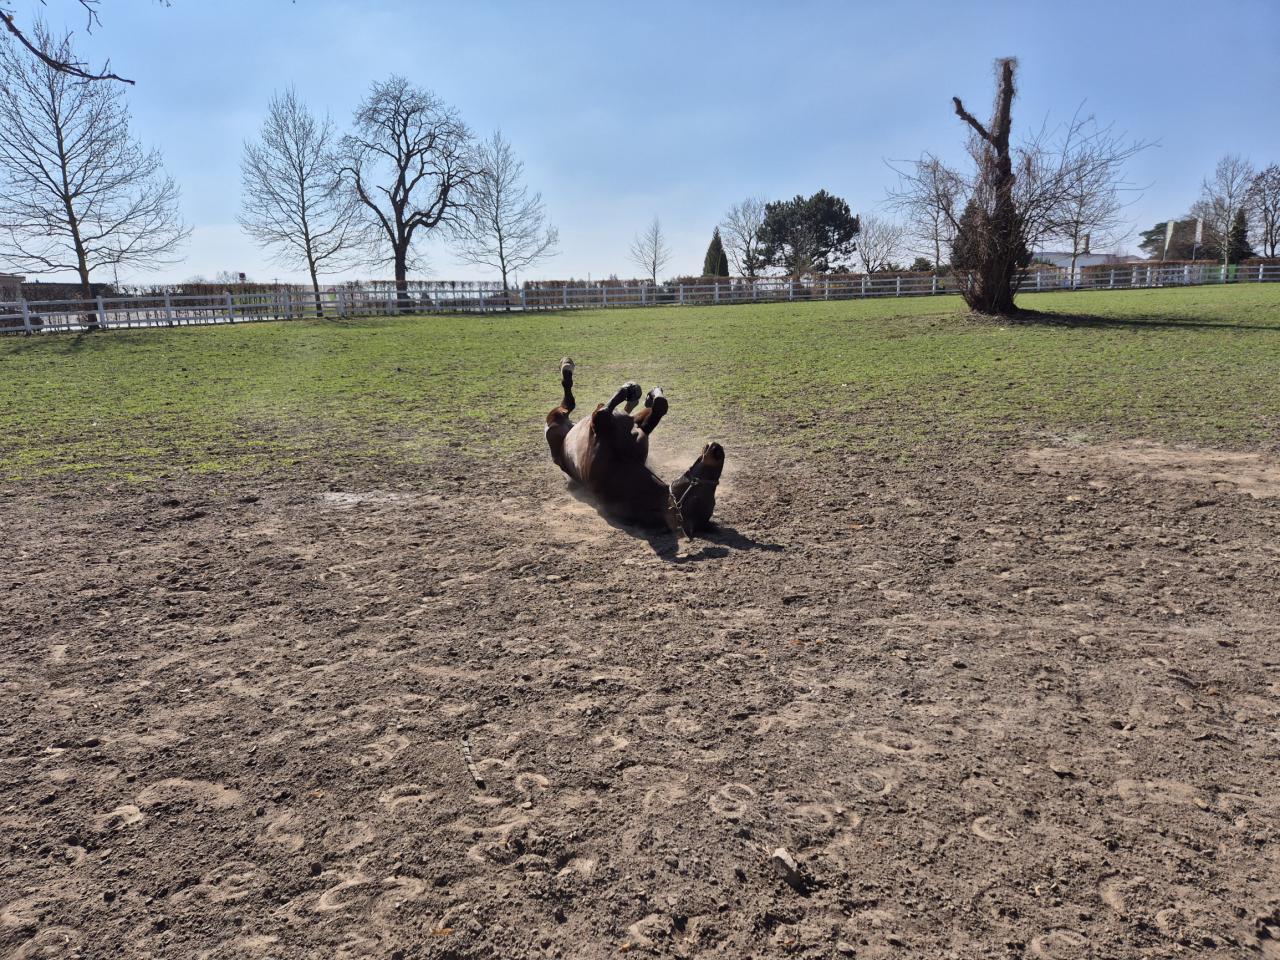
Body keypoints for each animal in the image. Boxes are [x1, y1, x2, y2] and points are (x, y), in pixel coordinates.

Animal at [544, 358, 724, 535]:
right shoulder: (638, 430)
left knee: (568, 402)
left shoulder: (602, 422)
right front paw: (646, 394)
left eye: (702, 494)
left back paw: (568, 368)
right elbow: (660, 406)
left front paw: (630, 390)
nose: (717, 449)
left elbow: (605, 410)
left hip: (555, 422)